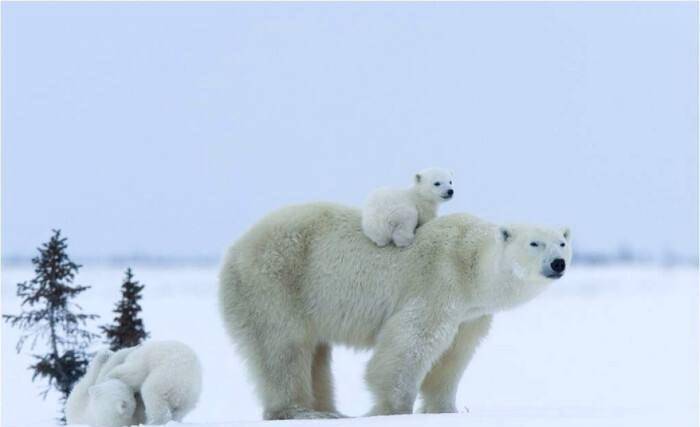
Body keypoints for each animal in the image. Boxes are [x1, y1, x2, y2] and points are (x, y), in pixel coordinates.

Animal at [219, 202, 568, 420]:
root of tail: (234, 249)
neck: (470, 261)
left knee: (316, 353)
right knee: (284, 346)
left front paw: (446, 410)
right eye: (535, 243)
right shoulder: (438, 283)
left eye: (562, 242)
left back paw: (331, 410)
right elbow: (411, 342)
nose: (558, 263)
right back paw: (303, 411)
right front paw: (392, 409)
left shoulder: (471, 315)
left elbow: (454, 356)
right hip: (276, 282)